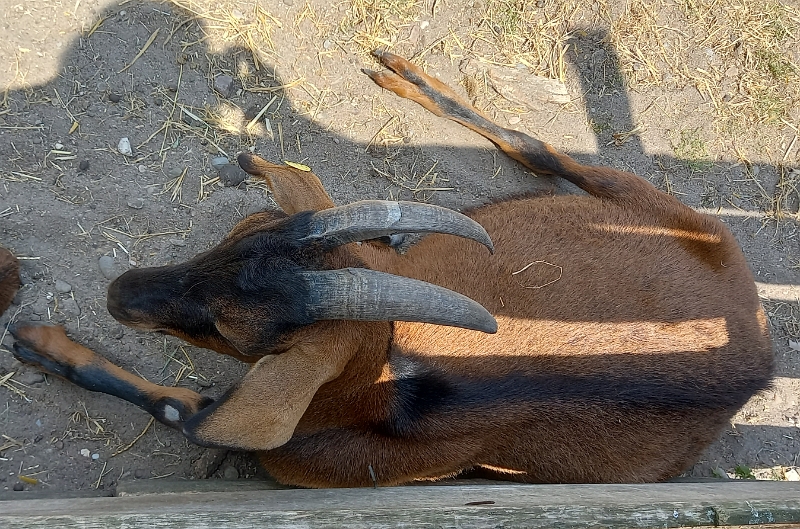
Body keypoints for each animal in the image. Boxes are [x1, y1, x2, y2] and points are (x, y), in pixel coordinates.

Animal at [9, 51, 772, 484]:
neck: (382, 390)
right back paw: (400, 74)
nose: (120, 292)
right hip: (655, 204)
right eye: (237, 231)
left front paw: (38, 343)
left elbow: (170, 404)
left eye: (231, 331)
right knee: (539, 148)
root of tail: (760, 347)